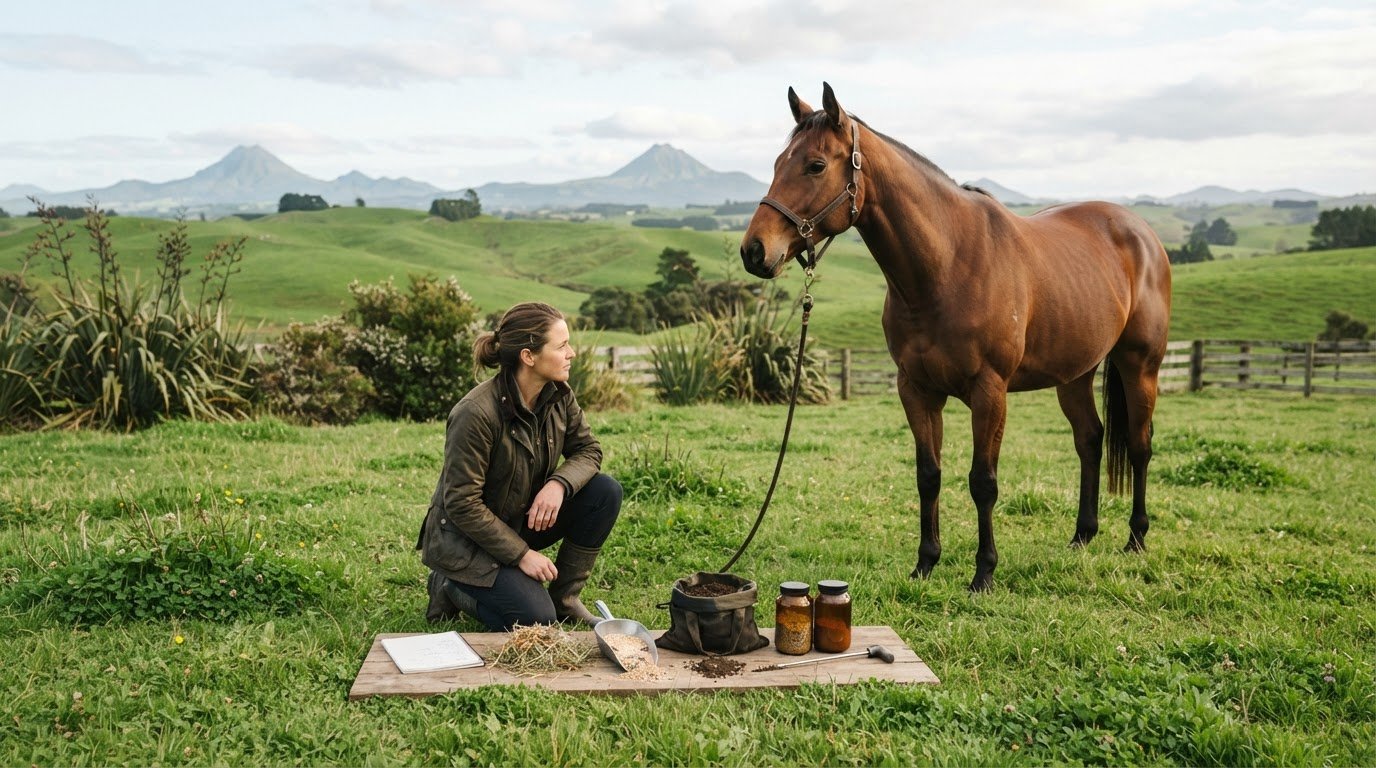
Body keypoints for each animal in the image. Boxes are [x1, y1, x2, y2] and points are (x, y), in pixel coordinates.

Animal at [740, 83, 1172, 592]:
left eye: (816, 165)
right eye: (777, 163)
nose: (754, 251)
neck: (947, 266)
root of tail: (1142, 233)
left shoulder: (989, 393)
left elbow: (983, 482)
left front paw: (983, 572)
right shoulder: (917, 390)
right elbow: (929, 475)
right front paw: (925, 563)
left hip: (1139, 367)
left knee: (1140, 446)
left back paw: (1137, 538)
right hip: (1075, 375)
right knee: (1090, 439)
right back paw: (1082, 536)